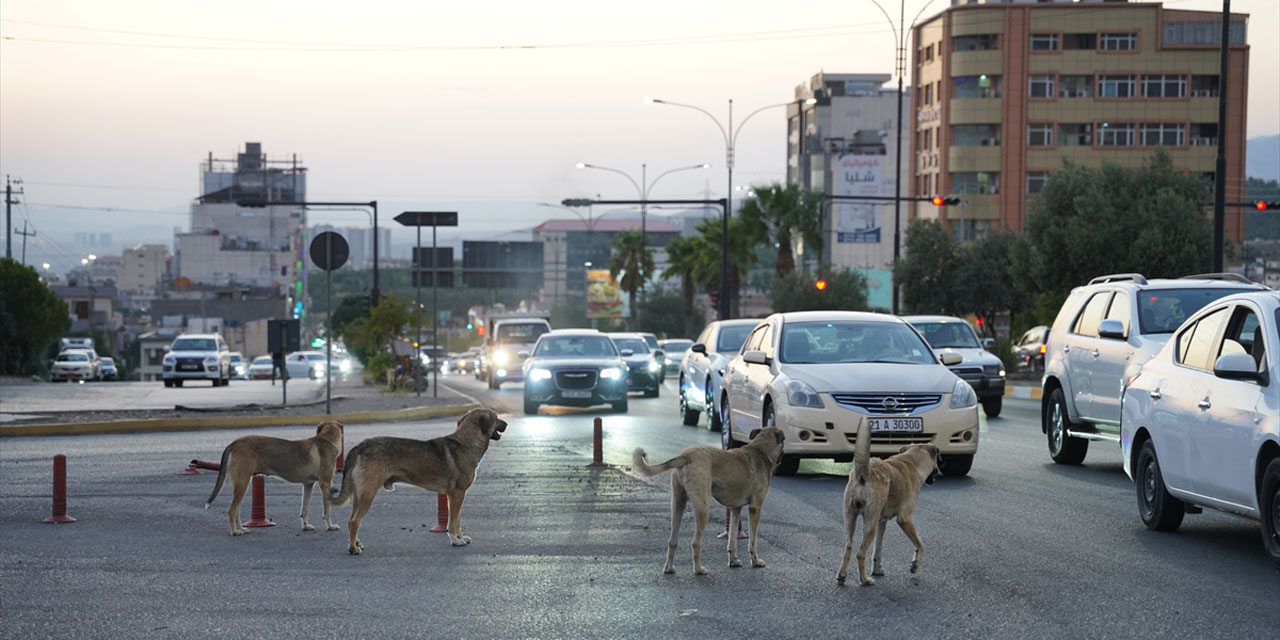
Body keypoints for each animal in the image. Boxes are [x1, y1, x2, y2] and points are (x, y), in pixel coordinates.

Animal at [206, 419, 348, 535]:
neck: (327, 439)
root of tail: (234, 443)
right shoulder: (325, 484)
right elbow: (327, 510)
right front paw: (330, 526)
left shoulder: (308, 485)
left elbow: (305, 509)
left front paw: (306, 526)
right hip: (242, 483)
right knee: (231, 510)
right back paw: (235, 531)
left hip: (241, 484)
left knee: (237, 510)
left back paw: (241, 529)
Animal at [327, 409, 506, 555]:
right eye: (496, 417)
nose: (507, 424)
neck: (467, 443)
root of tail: (360, 446)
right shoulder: (457, 494)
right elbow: (454, 521)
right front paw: (456, 540)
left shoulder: (456, 496)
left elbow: (458, 520)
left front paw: (461, 537)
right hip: (368, 494)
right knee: (355, 521)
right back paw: (353, 548)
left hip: (359, 495)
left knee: (351, 520)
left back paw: (356, 543)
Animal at [632, 427, 783, 578]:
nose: (781, 458)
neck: (761, 449)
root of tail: (686, 456)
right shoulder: (755, 509)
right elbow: (752, 541)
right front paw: (755, 561)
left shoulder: (735, 509)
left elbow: (732, 539)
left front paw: (733, 561)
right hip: (703, 509)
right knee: (695, 542)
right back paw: (698, 569)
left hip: (678, 504)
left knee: (672, 540)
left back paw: (669, 568)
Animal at [834, 417, 947, 586]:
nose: (939, 473)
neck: (912, 461)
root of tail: (864, 472)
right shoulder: (904, 518)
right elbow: (920, 543)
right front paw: (915, 565)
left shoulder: (882, 522)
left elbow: (878, 550)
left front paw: (877, 569)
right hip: (870, 523)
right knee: (860, 553)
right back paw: (865, 580)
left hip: (851, 518)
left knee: (848, 547)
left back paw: (842, 576)